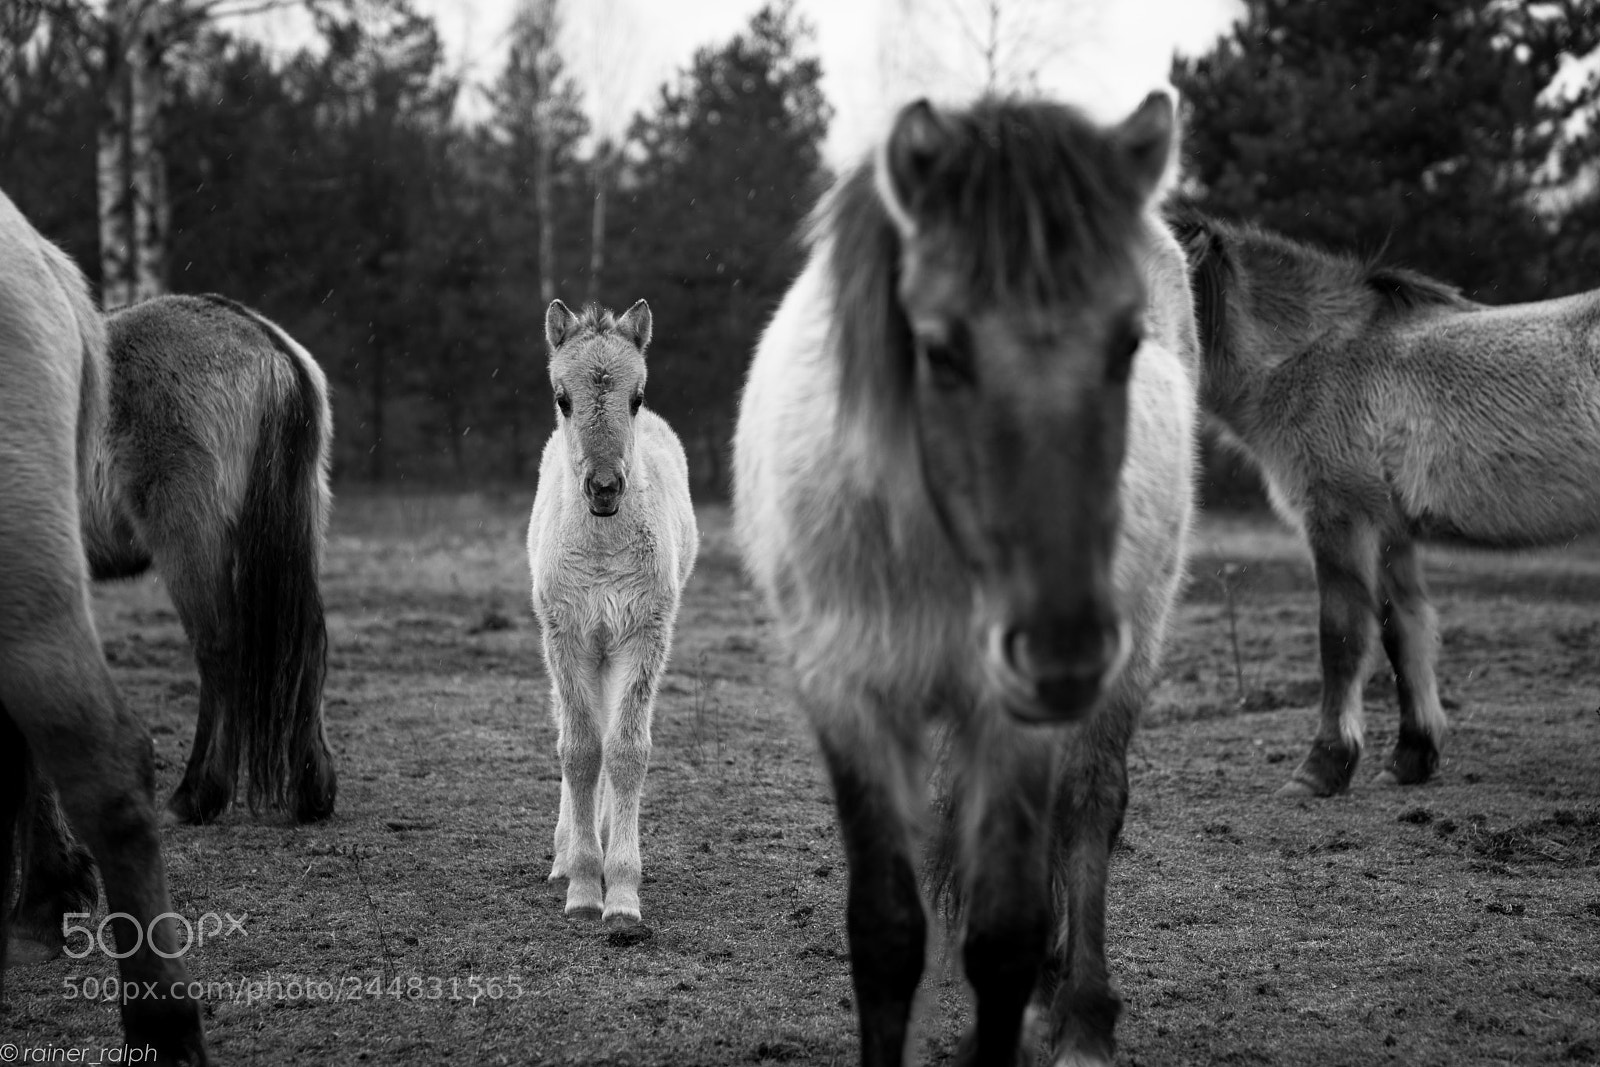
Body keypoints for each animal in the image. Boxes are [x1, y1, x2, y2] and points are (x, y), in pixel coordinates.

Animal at [11, 292, 335, 959]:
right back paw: (312, 791)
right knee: (307, 650)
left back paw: (195, 796)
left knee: (221, 653)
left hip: (191, 537)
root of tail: (266, 343)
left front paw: (44, 900)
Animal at [529, 299, 698, 929]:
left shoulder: (642, 635)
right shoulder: (567, 635)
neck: (602, 551)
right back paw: (564, 857)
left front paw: (621, 895)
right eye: (562, 397)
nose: (604, 487)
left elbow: (625, 751)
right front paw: (582, 887)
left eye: (637, 396)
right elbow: (579, 750)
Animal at [733, 93, 1198, 1067]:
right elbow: (885, 933)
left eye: (1127, 342)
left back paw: (1082, 1013)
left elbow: (1004, 934)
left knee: (1089, 809)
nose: (1063, 651)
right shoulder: (849, 697)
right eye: (939, 350)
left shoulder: (1011, 716)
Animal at [1171, 209, 1600, 797]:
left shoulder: (1340, 521)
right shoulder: (1391, 531)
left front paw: (1322, 766)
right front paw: (1411, 756)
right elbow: (1405, 634)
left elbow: (1342, 637)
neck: (1308, 355)